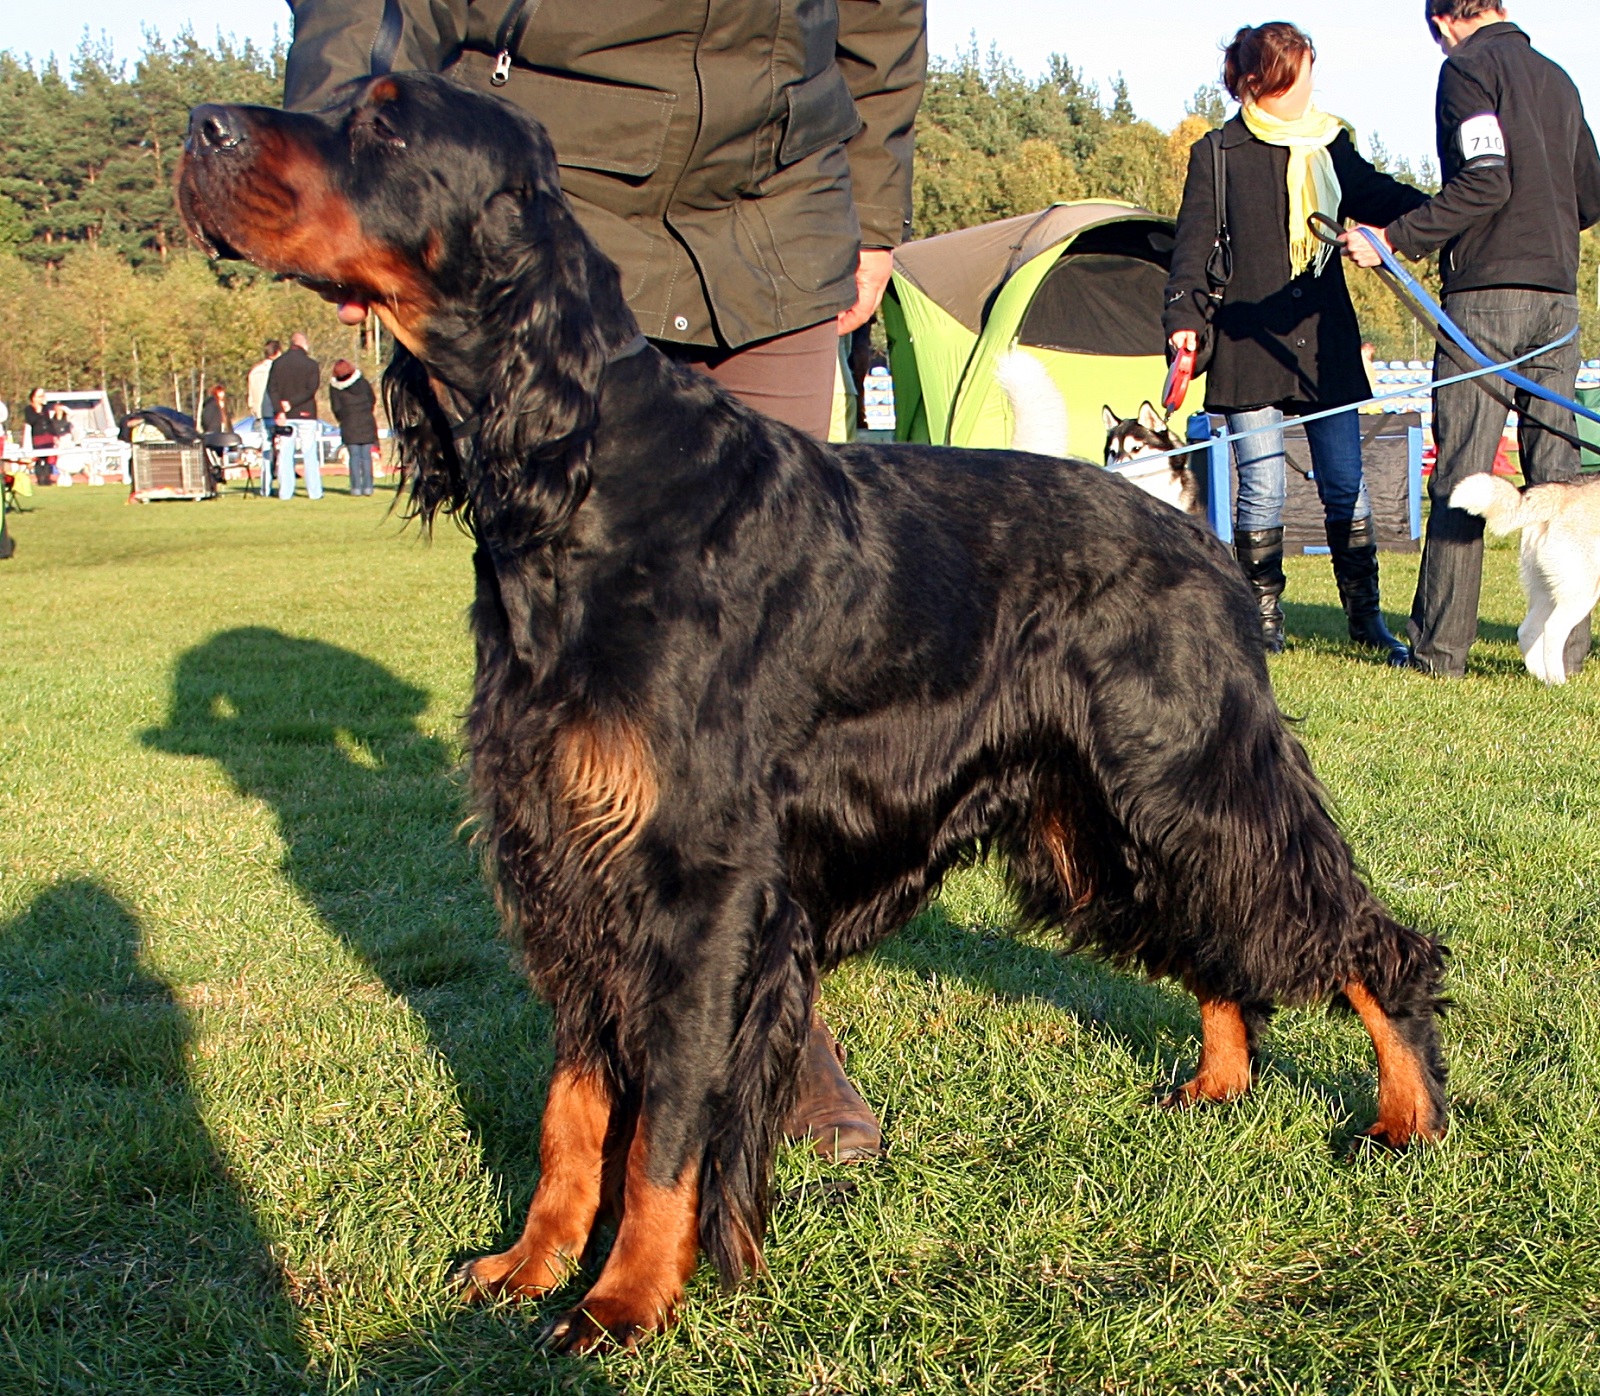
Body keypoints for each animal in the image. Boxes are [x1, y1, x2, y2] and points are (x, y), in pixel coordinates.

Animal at [178, 73, 1452, 1351]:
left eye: (386, 120)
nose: (200, 129)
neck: (591, 481)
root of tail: (1188, 519)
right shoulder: (568, 859)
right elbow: (573, 1105)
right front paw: (532, 1260)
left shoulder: (697, 883)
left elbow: (665, 1127)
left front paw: (625, 1299)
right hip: (1102, 819)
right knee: (1218, 941)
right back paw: (1220, 1081)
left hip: (1190, 773)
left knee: (1365, 937)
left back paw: (1405, 1115)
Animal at [1452, 470, 1600, 685]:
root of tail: (1562, 491)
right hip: (1581, 591)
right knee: (1553, 630)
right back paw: (1559, 682)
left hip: (1547, 590)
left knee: (1527, 631)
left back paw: (1543, 678)